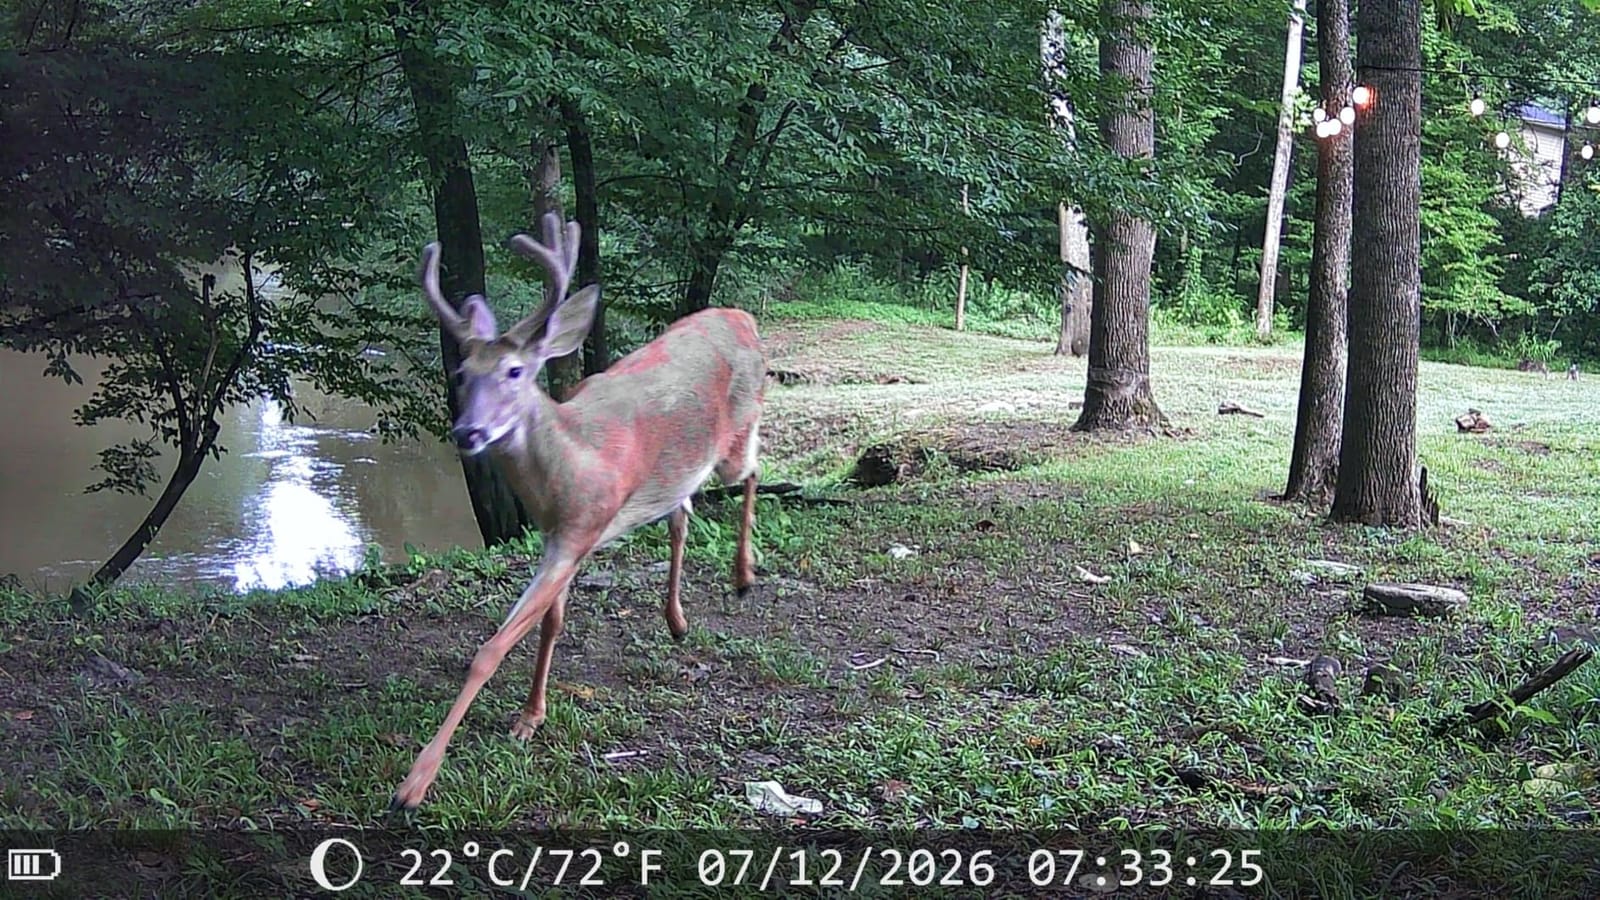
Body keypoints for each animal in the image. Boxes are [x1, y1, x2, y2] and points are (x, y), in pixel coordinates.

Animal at [390, 213, 766, 812]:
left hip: (739, 430)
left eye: (515, 371)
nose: (467, 431)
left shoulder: (580, 531)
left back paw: (744, 574)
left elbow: (491, 649)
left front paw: (414, 784)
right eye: (461, 373)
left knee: (754, 469)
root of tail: (744, 317)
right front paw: (529, 717)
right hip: (676, 472)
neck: (568, 467)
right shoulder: (557, 535)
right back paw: (677, 620)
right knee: (682, 511)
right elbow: (552, 623)